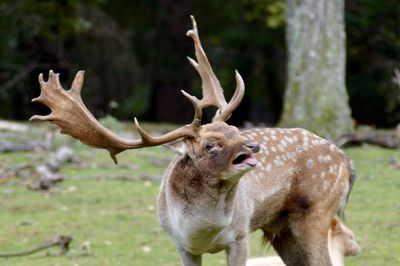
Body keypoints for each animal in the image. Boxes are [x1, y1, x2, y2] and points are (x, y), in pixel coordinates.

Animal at [31, 16, 356, 266]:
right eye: (210, 145)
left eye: (235, 129)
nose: (253, 146)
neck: (203, 233)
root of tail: (346, 161)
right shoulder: (181, 244)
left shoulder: (240, 236)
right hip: (282, 228)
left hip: (315, 211)